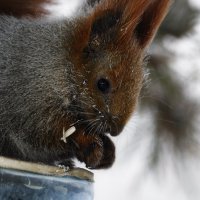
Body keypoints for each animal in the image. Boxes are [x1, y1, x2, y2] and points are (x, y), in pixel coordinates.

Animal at [0, 0, 171, 169]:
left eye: (139, 85)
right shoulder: (28, 93)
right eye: (102, 84)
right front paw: (88, 142)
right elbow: (41, 134)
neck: (62, 64)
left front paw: (108, 150)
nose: (116, 130)